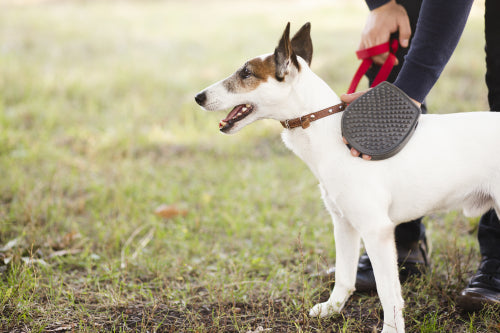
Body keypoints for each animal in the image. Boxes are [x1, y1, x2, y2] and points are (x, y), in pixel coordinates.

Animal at [193, 22, 498, 330]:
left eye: (246, 73)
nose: (198, 97)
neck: (328, 131)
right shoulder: (344, 224)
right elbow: (344, 274)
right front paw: (333, 307)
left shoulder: (376, 231)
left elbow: (388, 292)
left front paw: (391, 328)